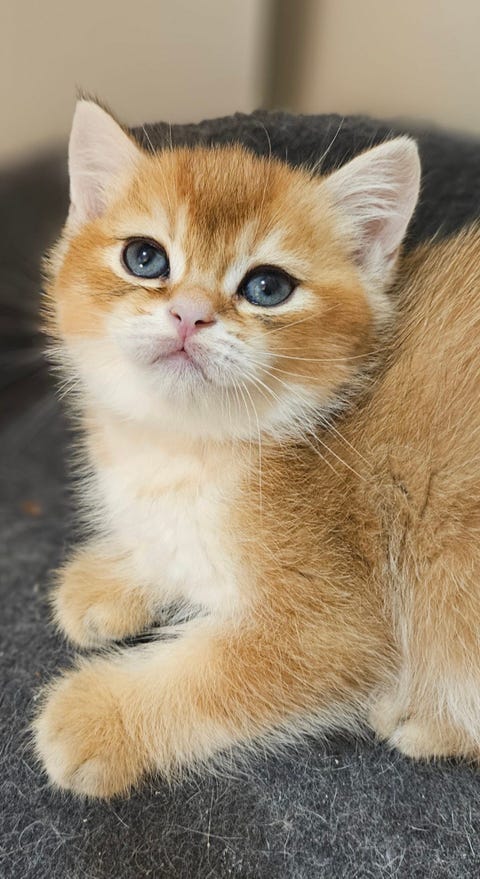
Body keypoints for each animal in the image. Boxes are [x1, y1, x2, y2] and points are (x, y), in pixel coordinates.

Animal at [34, 99, 480, 799]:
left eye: (268, 287)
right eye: (144, 258)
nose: (189, 314)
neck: (189, 446)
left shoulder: (333, 621)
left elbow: (211, 679)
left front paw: (98, 715)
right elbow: (170, 553)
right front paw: (112, 576)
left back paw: (426, 718)